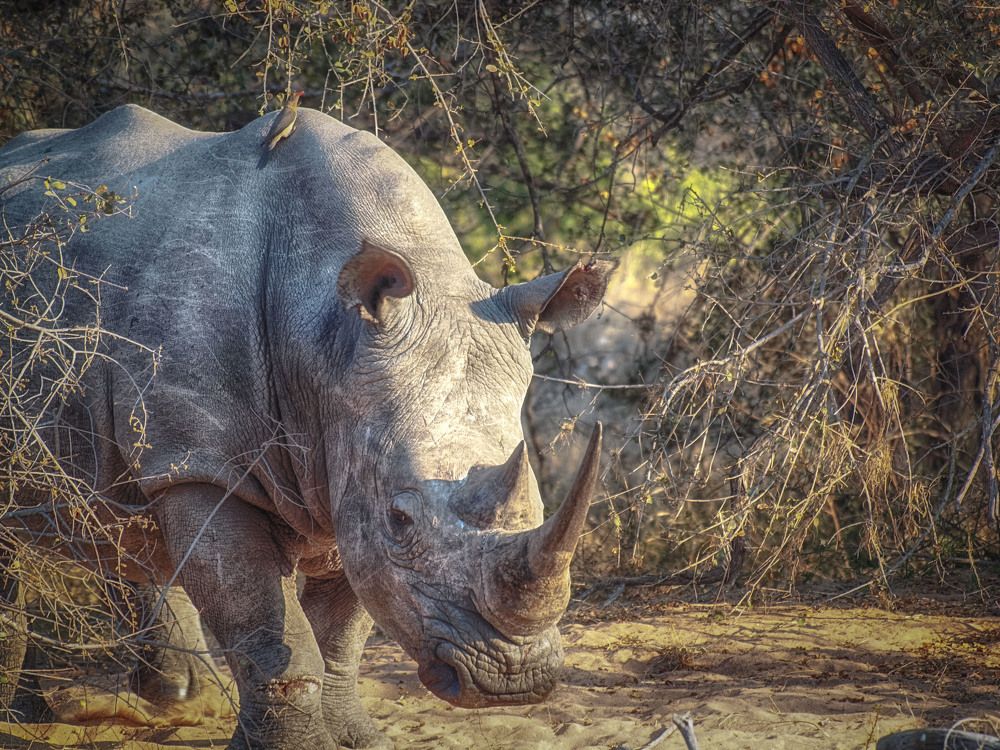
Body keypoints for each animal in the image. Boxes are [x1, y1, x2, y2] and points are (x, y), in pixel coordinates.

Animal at [0, 104, 612, 749]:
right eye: (401, 520)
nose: (510, 679)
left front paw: (355, 738)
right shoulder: (202, 464)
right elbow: (268, 626)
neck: (324, 332)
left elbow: (342, 632)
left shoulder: (348, 456)